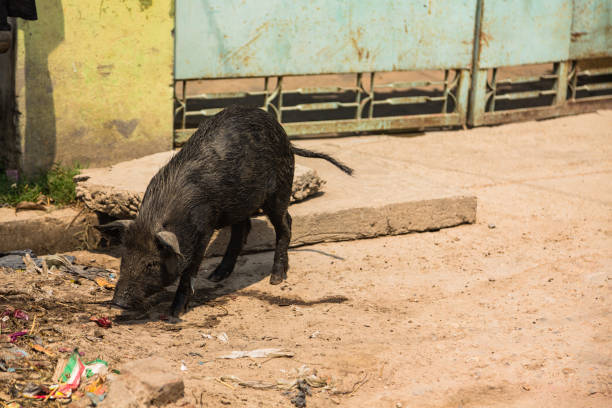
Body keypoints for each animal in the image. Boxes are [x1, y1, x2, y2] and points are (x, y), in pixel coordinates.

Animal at [97, 105, 354, 316]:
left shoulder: (204, 227)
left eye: (151, 263)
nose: (118, 302)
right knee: (244, 228)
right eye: (124, 257)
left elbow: (191, 267)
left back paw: (276, 279)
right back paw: (217, 276)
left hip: (280, 189)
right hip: (240, 204)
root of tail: (288, 140)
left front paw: (175, 313)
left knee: (285, 225)